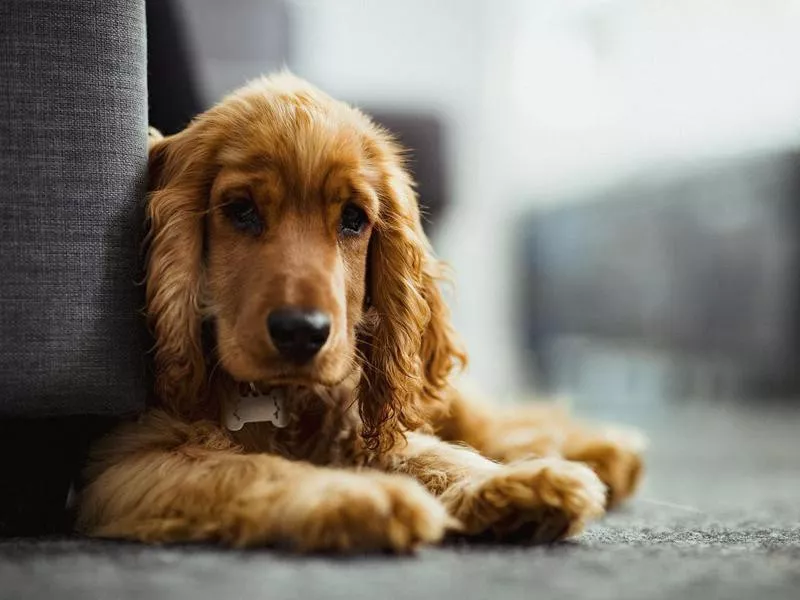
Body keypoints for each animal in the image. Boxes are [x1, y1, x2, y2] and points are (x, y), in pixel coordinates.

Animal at [75, 72, 644, 552]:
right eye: (241, 211)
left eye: (353, 219)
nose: (302, 333)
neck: (278, 400)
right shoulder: (124, 462)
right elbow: (250, 469)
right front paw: (361, 496)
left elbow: (429, 452)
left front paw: (512, 483)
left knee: (490, 421)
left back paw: (597, 453)